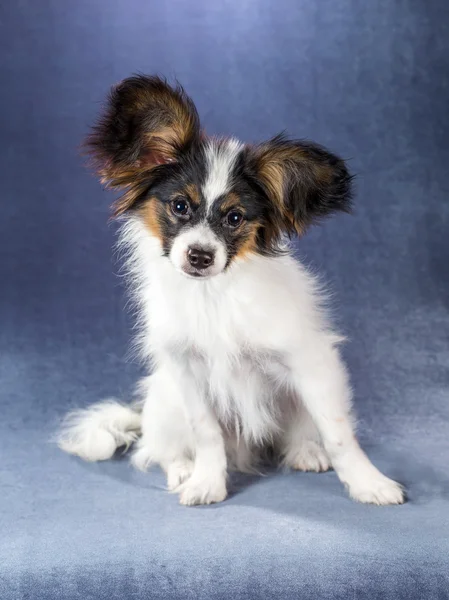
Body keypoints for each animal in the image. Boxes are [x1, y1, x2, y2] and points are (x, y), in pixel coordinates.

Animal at [57, 75, 404, 506]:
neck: (214, 294)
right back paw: (182, 470)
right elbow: (206, 434)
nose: (200, 256)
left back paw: (306, 451)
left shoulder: (311, 363)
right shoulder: (187, 371)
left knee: (301, 432)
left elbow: (338, 434)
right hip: (166, 401)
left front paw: (369, 483)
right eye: (179, 206)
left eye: (235, 218)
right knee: (157, 449)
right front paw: (206, 482)